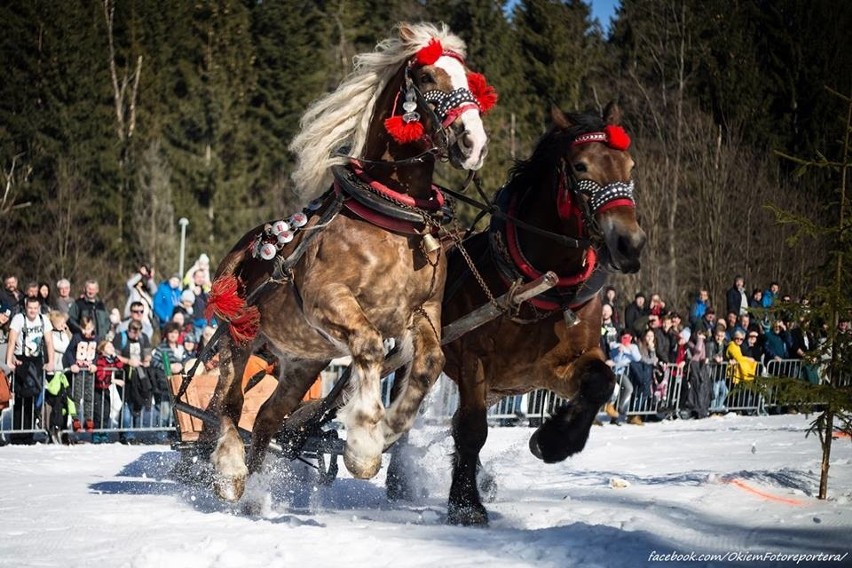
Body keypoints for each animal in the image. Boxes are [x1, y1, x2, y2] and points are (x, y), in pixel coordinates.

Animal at [201, 22, 492, 502]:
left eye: (470, 81)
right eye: (427, 77)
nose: (474, 141)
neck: (392, 217)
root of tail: (243, 249)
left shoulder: (423, 312)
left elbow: (429, 365)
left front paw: (385, 431)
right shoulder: (329, 299)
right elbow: (371, 348)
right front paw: (363, 446)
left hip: (303, 361)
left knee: (267, 417)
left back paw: (258, 489)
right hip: (240, 336)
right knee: (229, 402)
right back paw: (230, 471)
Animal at [388, 103, 644, 524]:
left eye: (630, 166)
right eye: (581, 166)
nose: (630, 244)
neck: (539, 283)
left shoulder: (556, 365)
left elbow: (601, 383)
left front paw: (552, 442)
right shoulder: (474, 360)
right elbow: (472, 429)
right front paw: (466, 505)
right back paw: (397, 479)